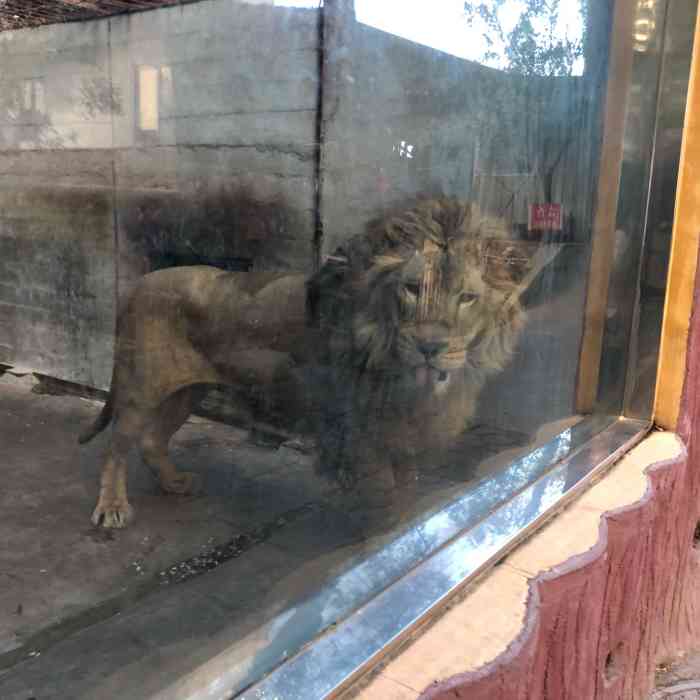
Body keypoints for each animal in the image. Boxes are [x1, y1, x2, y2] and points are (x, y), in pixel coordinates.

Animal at [79, 194, 556, 528]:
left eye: (467, 297)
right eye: (411, 289)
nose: (430, 346)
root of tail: (138, 284)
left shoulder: (401, 427)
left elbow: (406, 481)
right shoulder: (359, 428)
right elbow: (383, 488)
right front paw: (380, 537)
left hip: (188, 391)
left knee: (151, 440)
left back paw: (176, 483)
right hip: (143, 387)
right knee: (118, 445)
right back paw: (112, 508)